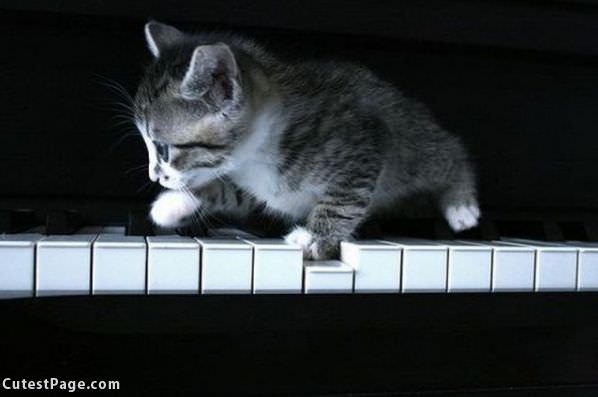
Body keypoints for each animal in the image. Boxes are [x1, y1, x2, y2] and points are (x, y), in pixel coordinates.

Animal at [134, 21, 480, 258]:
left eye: (162, 148)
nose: (153, 175)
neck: (255, 154)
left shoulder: (363, 144)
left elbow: (342, 200)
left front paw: (316, 238)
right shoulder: (260, 186)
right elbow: (229, 191)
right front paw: (172, 205)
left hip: (413, 147)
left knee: (451, 150)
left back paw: (461, 205)